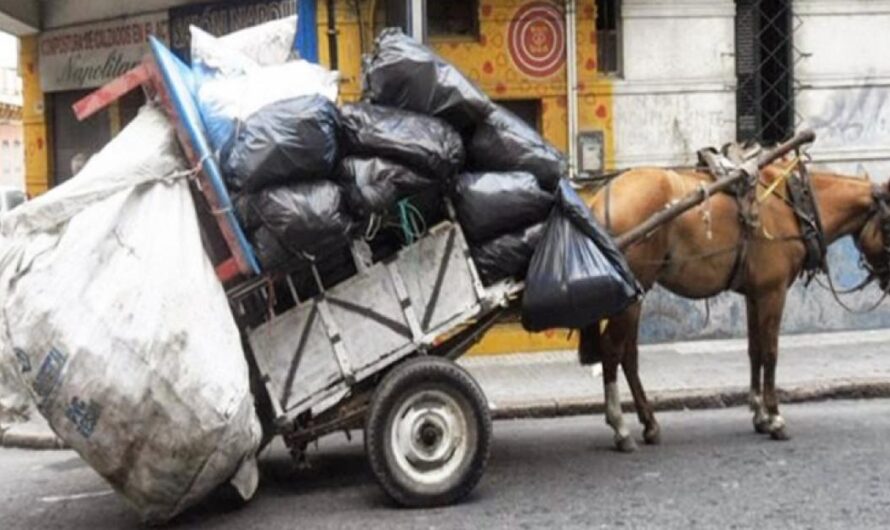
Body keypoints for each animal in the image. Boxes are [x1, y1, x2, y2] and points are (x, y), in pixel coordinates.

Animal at [576, 164, 888, 450]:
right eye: (889, 225)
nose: (886, 283)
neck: (795, 205)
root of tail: (600, 199)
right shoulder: (773, 292)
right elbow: (771, 352)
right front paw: (775, 418)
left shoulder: (755, 294)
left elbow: (755, 350)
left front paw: (760, 415)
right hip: (631, 292)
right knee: (612, 350)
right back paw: (620, 427)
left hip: (637, 294)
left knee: (629, 355)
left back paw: (649, 424)